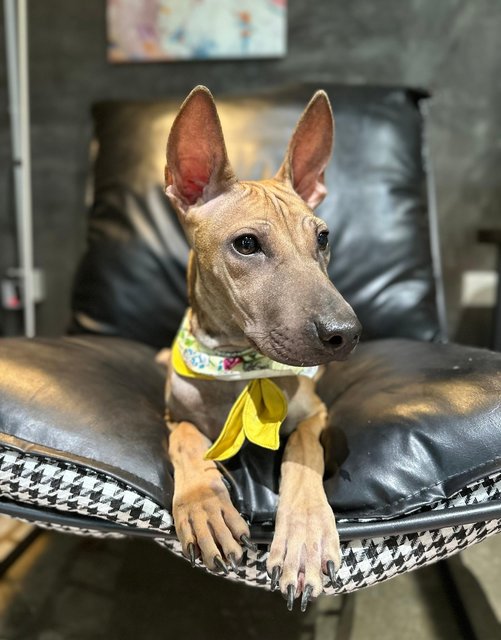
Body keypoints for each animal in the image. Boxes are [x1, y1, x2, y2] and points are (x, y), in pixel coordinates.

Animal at [162, 85, 362, 608]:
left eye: (323, 237)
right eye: (247, 244)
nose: (345, 333)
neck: (240, 368)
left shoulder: (316, 412)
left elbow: (303, 451)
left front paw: (304, 538)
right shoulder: (172, 415)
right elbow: (186, 439)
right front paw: (205, 505)